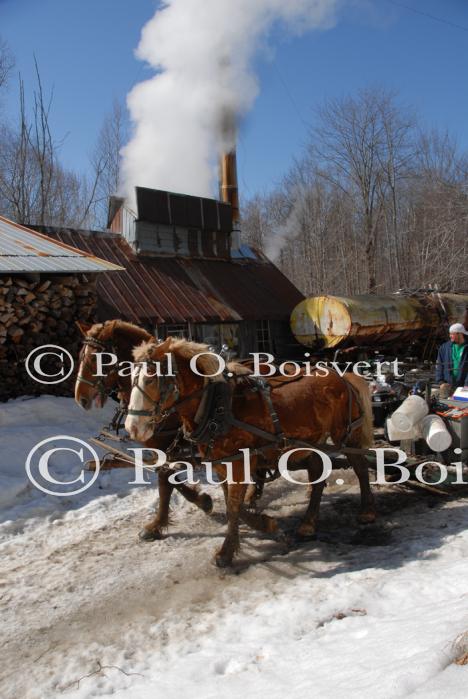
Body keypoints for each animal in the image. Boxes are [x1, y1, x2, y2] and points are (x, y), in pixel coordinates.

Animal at [74, 320, 212, 540]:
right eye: (80, 355)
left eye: (100, 358)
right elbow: (167, 476)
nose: (81, 398)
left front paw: (158, 523)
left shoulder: (168, 447)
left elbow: (166, 480)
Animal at [126, 336, 374, 568]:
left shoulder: (239, 463)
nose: (132, 428)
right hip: (312, 442)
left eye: (150, 379)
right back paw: (308, 523)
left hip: (346, 434)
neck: (218, 407)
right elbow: (230, 503)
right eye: (129, 380)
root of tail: (343, 376)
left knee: (360, 467)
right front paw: (266, 525)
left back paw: (366, 511)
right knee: (317, 474)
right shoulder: (221, 463)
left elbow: (234, 506)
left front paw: (227, 552)